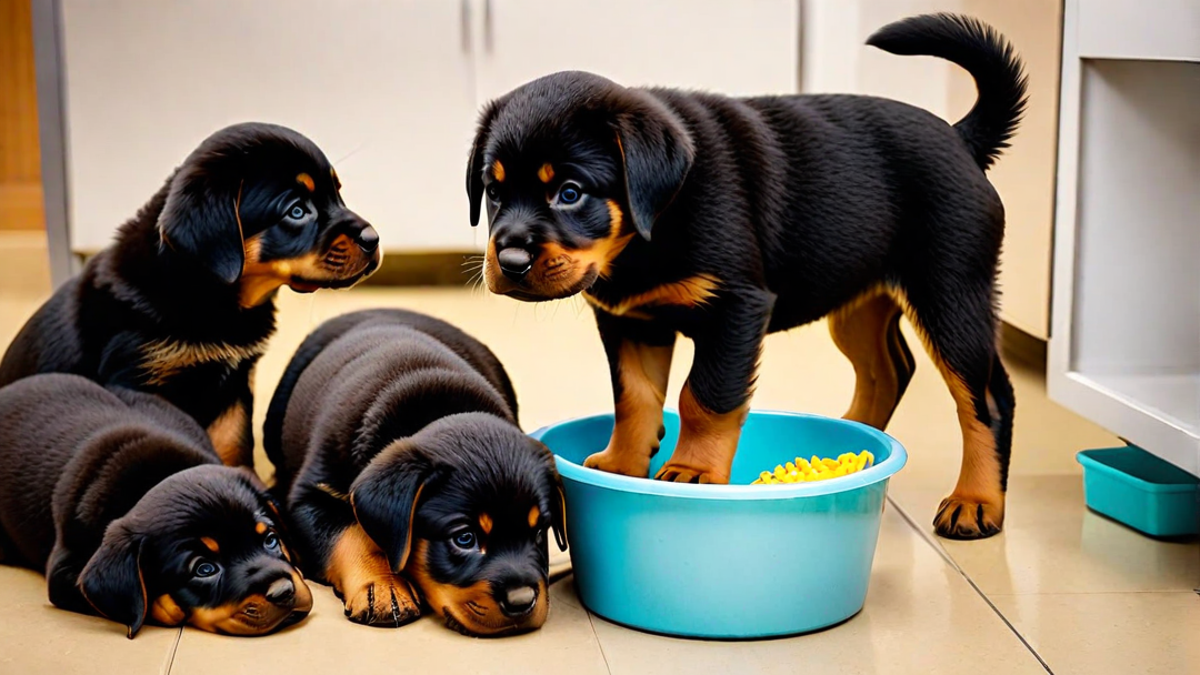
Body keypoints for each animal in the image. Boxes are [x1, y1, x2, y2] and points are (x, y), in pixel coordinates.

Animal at [0, 121, 379, 468]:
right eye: (297, 211)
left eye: (338, 194)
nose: (373, 239)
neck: (208, 293)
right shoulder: (138, 381)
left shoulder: (235, 385)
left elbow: (233, 446)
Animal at [265, 307, 564, 634]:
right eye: (464, 538)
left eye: (539, 533)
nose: (522, 601)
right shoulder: (309, 497)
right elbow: (350, 534)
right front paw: (384, 588)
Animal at [463, 13, 1027, 538]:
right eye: (493, 191)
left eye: (570, 193)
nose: (509, 261)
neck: (650, 231)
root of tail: (958, 137)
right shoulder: (630, 322)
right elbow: (634, 396)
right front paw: (623, 463)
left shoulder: (736, 307)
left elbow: (704, 396)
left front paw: (691, 469)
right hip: (857, 302)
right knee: (889, 369)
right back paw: (853, 445)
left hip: (950, 293)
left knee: (987, 399)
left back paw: (975, 501)